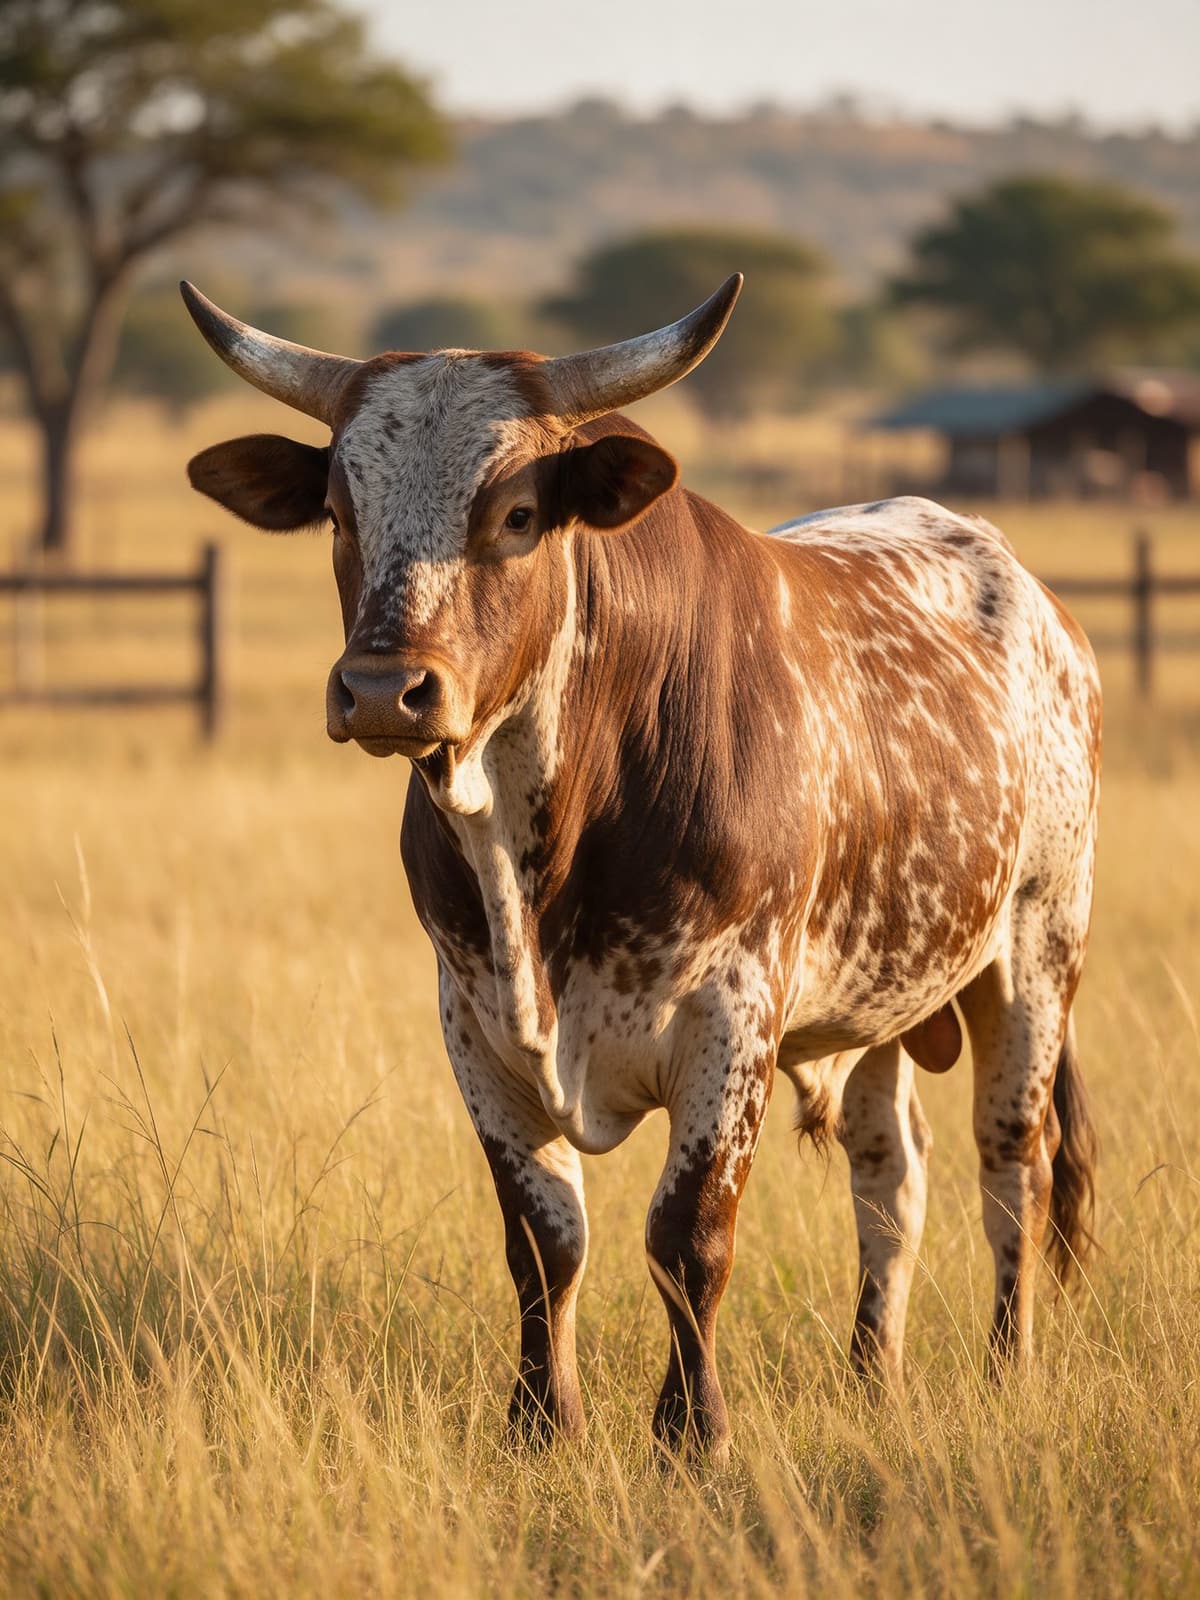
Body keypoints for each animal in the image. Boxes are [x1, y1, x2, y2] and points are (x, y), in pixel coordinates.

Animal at [182, 274, 1100, 1461]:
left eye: (517, 514)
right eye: (340, 513)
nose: (385, 689)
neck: (537, 839)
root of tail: (1029, 589)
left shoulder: (733, 1017)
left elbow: (686, 1237)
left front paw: (691, 1431)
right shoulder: (472, 1023)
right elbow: (545, 1243)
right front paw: (541, 1421)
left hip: (1037, 951)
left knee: (1012, 1161)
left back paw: (1006, 1365)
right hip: (883, 999)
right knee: (891, 1173)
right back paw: (871, 1375)